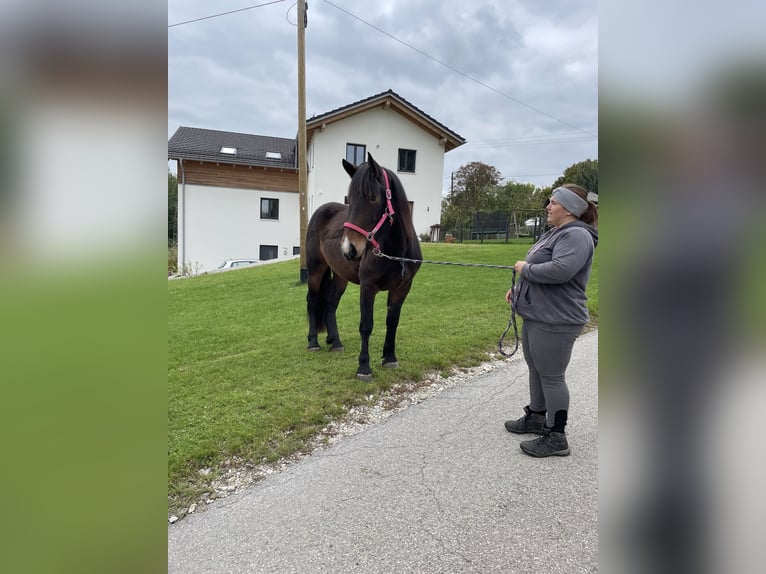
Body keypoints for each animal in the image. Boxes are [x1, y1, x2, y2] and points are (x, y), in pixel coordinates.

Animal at [305, 153, 422, 381]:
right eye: (350, 199)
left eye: (372, 197)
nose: (349, 248)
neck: (396, 251)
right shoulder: (368, 286)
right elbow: (366, 325)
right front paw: (364, 367)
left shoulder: (403, 287)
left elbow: (392, 320)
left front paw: (389, 357)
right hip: (315, 270)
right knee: (313, 301)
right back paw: (313, 342)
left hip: (340, 276)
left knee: (330, 302)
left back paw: (335, 342)